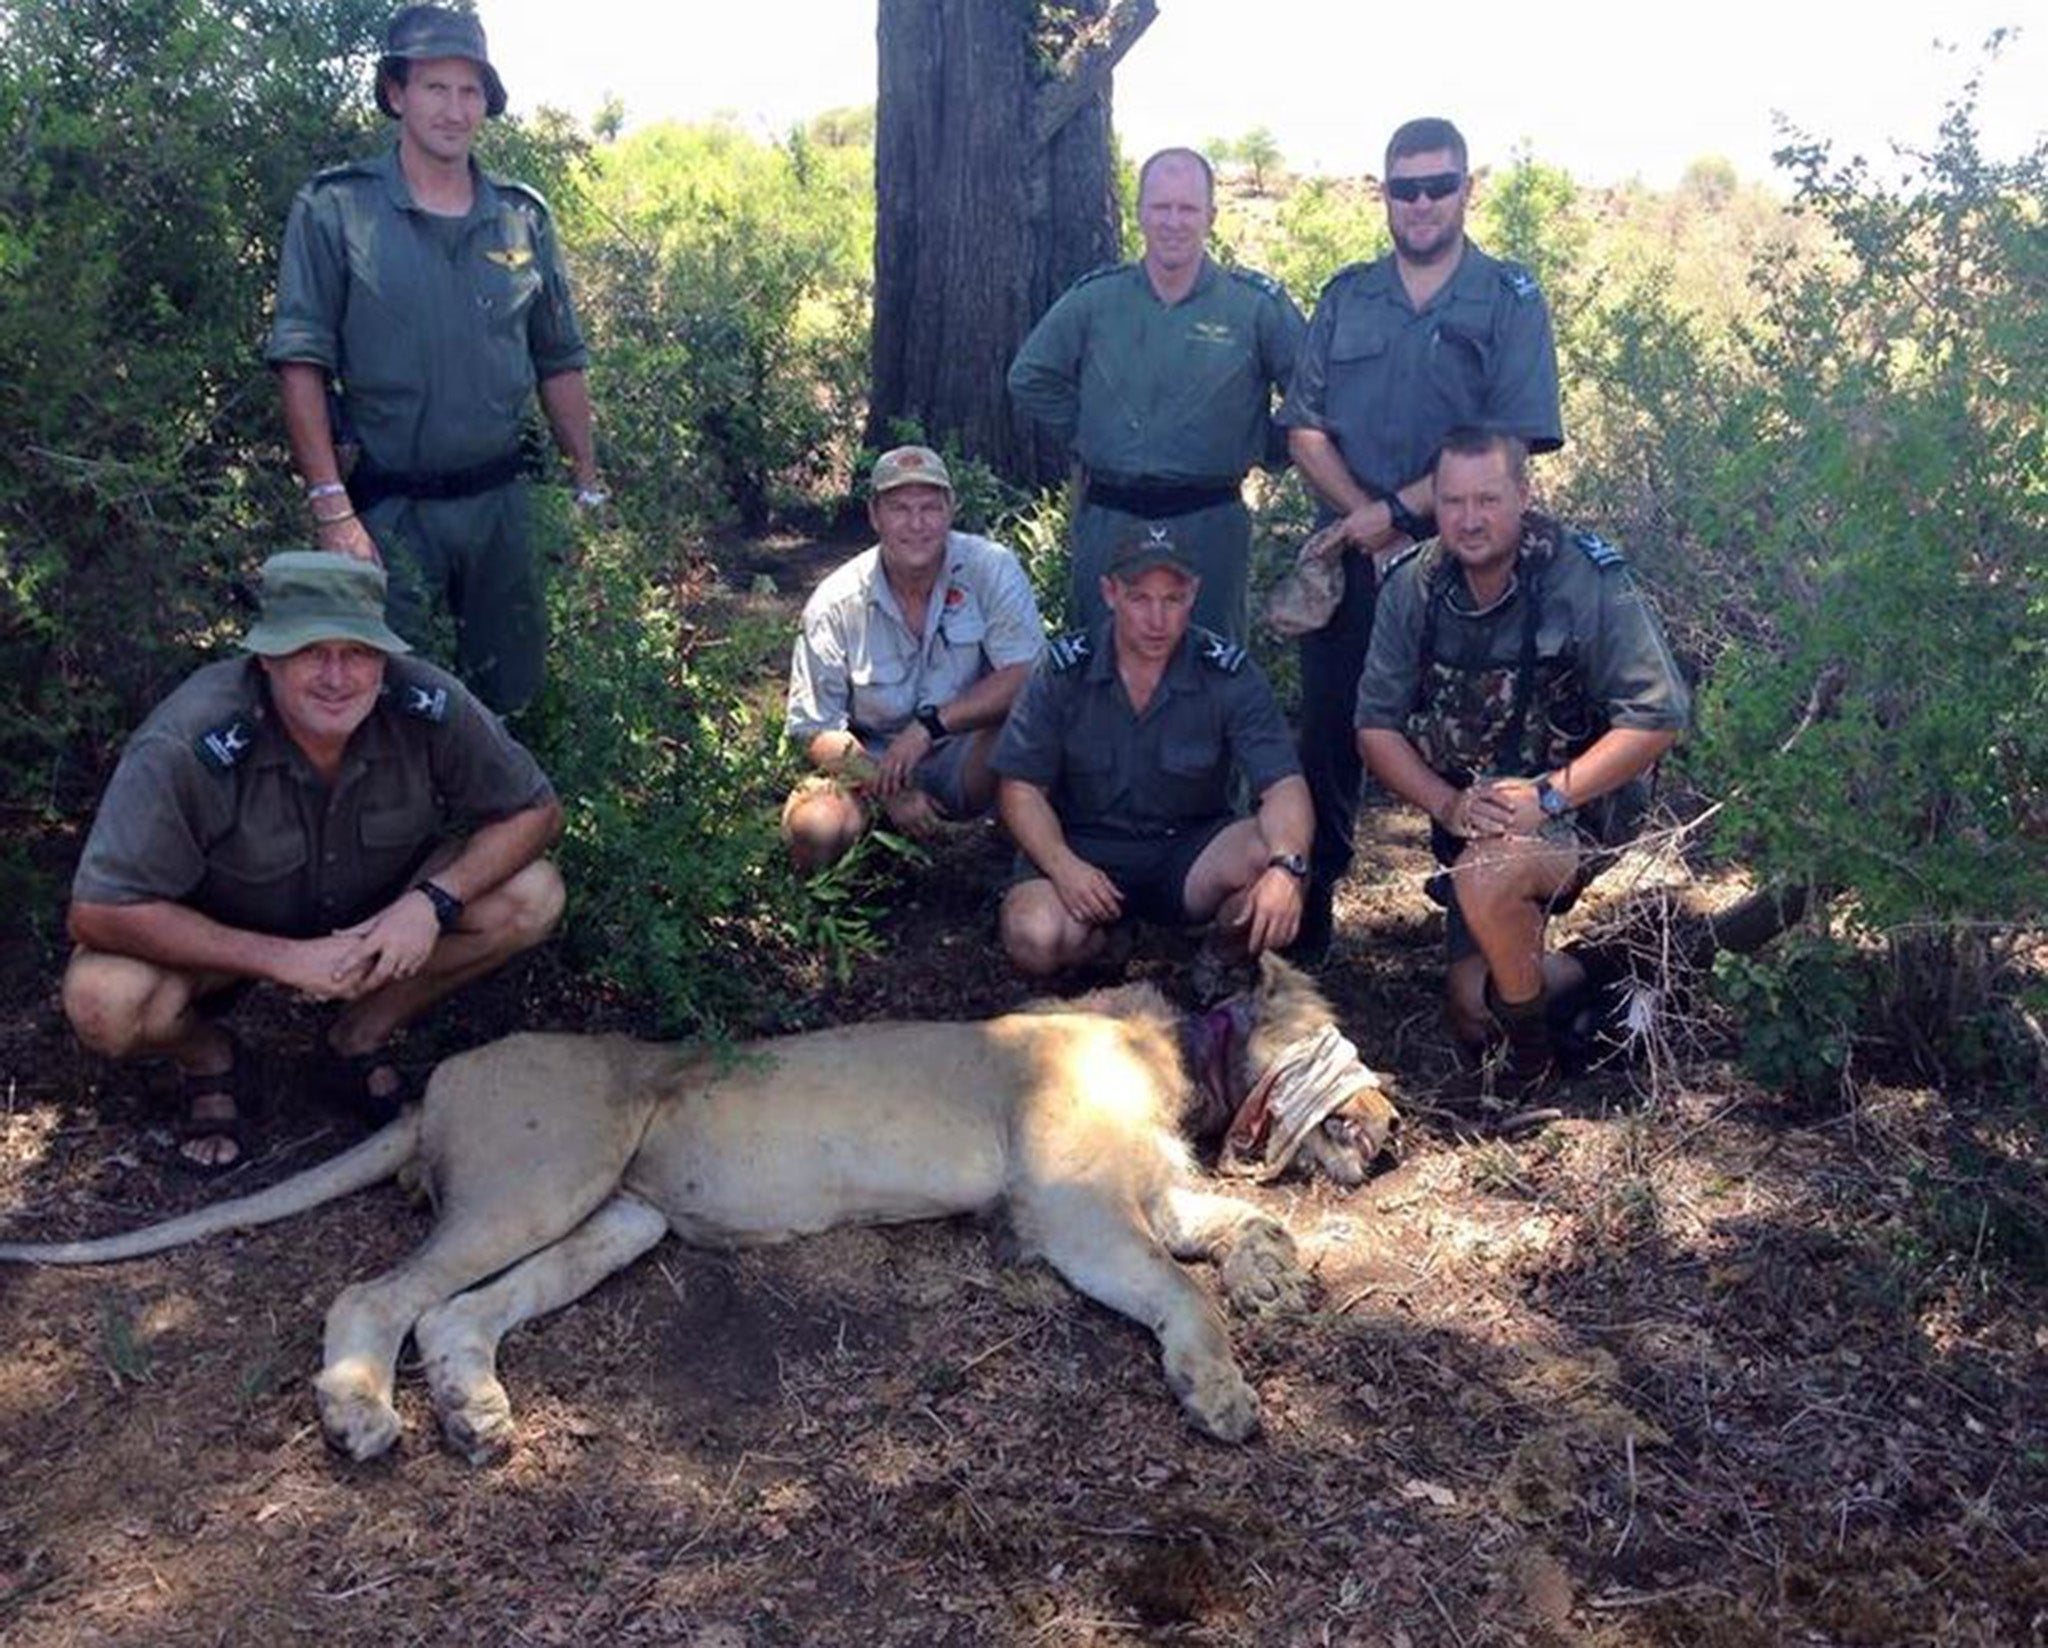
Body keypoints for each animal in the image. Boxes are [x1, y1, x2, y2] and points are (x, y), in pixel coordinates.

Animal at [0, 945, 1400, 1457]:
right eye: (1337, 1036)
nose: (1393, 1133)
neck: (1184, 1059)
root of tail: (445, 1072)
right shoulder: (1069, 1214)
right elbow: (1177, 1294)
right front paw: (1222, 1392)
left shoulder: (1147, 1193)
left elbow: (1243, 1224)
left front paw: (1273, 1277)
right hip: (547, 1169)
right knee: (376, 1293)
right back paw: (361, 1415)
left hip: (619, 1216)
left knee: (457, 1315)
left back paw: (477, 1417)